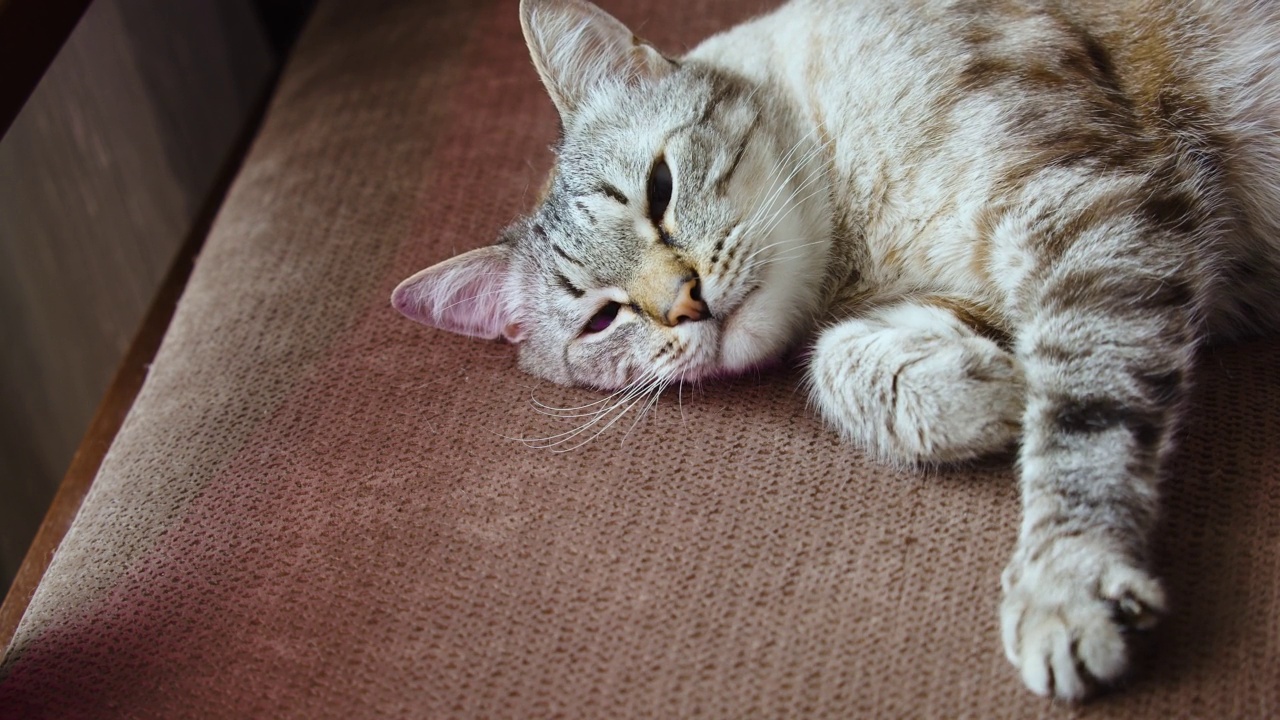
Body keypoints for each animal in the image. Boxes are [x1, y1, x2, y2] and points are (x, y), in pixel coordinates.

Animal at [389, 0, 1280, 696]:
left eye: (659, 190)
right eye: (602, 321)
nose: (684, 303)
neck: (855, 248)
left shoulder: (1089, 209)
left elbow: (1083, 421)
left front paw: (1064, 583)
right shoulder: (1012, 274)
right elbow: (839, 363)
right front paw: (989, 396)